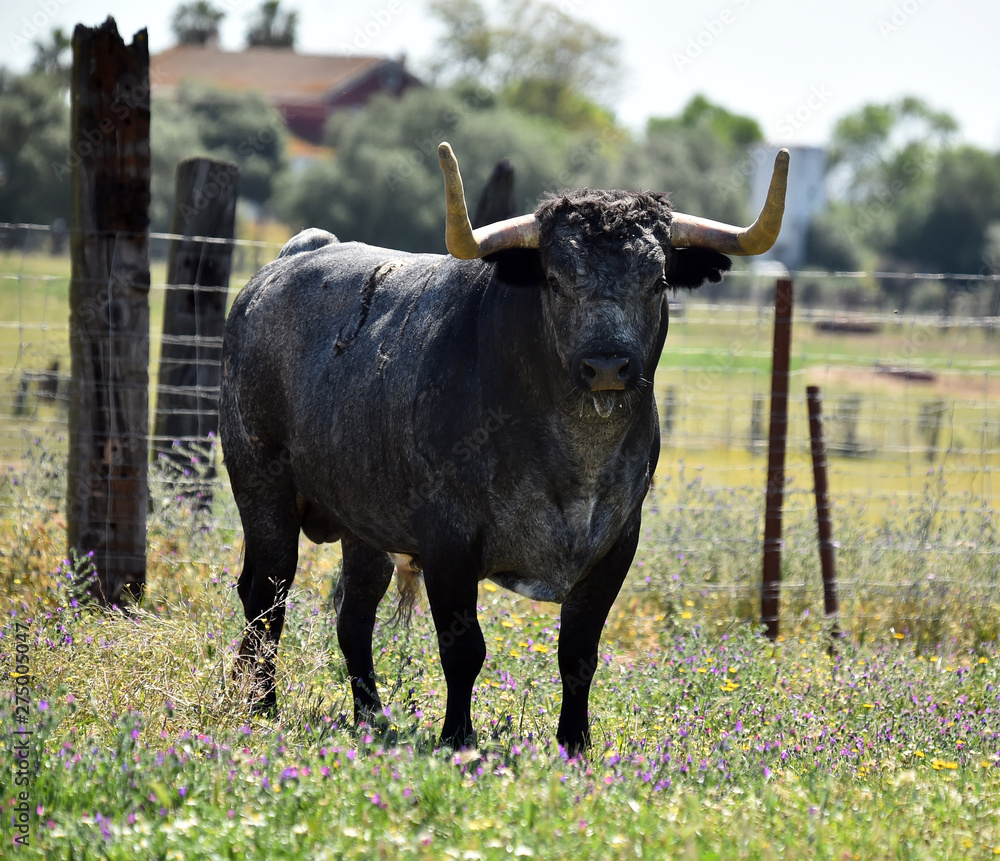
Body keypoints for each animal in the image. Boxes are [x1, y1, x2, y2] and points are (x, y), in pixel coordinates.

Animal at [221, 149, 788, 752]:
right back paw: (262, 707)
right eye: (556, 280)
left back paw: (371, 718)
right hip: (262, 488)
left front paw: (575, 745)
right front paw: (458, 738)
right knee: (268, 598)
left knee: (353, 614)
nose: (607, 365)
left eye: (657, 280)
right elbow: (464, 651)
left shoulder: (616, 545)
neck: (574, 459)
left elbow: (578, 655)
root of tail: (291, 260)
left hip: (364, 522)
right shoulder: (448, 541)